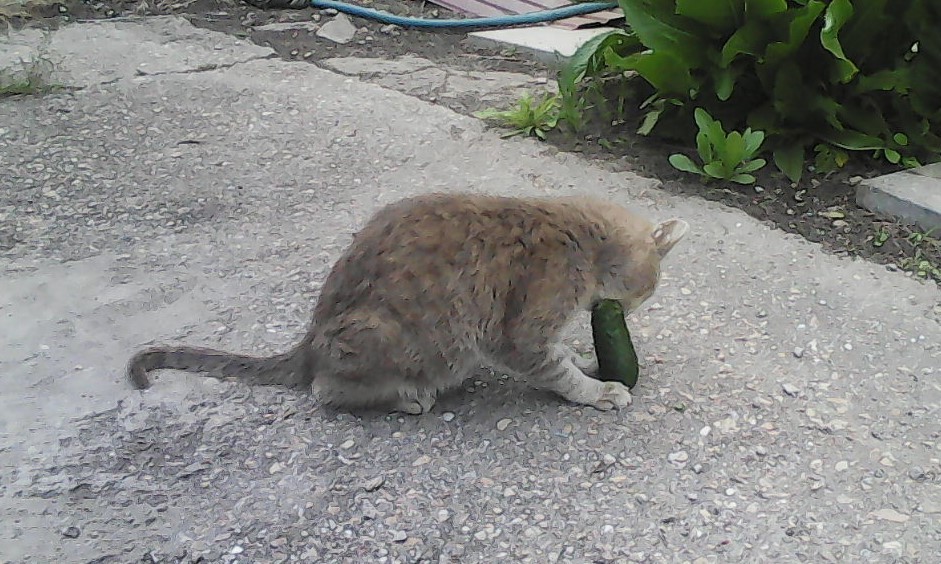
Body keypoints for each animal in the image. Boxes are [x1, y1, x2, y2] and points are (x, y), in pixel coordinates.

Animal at [129, 194, 688, 414]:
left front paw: (584, 360)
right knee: (323, 390)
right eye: (641, 297)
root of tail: (309, 339)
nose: (626, 316)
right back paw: (403, 397)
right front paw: (598, 390)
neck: (578, 239)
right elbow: (555, 371)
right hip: (410, 341)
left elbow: (561, 357)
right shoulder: (517, 336)